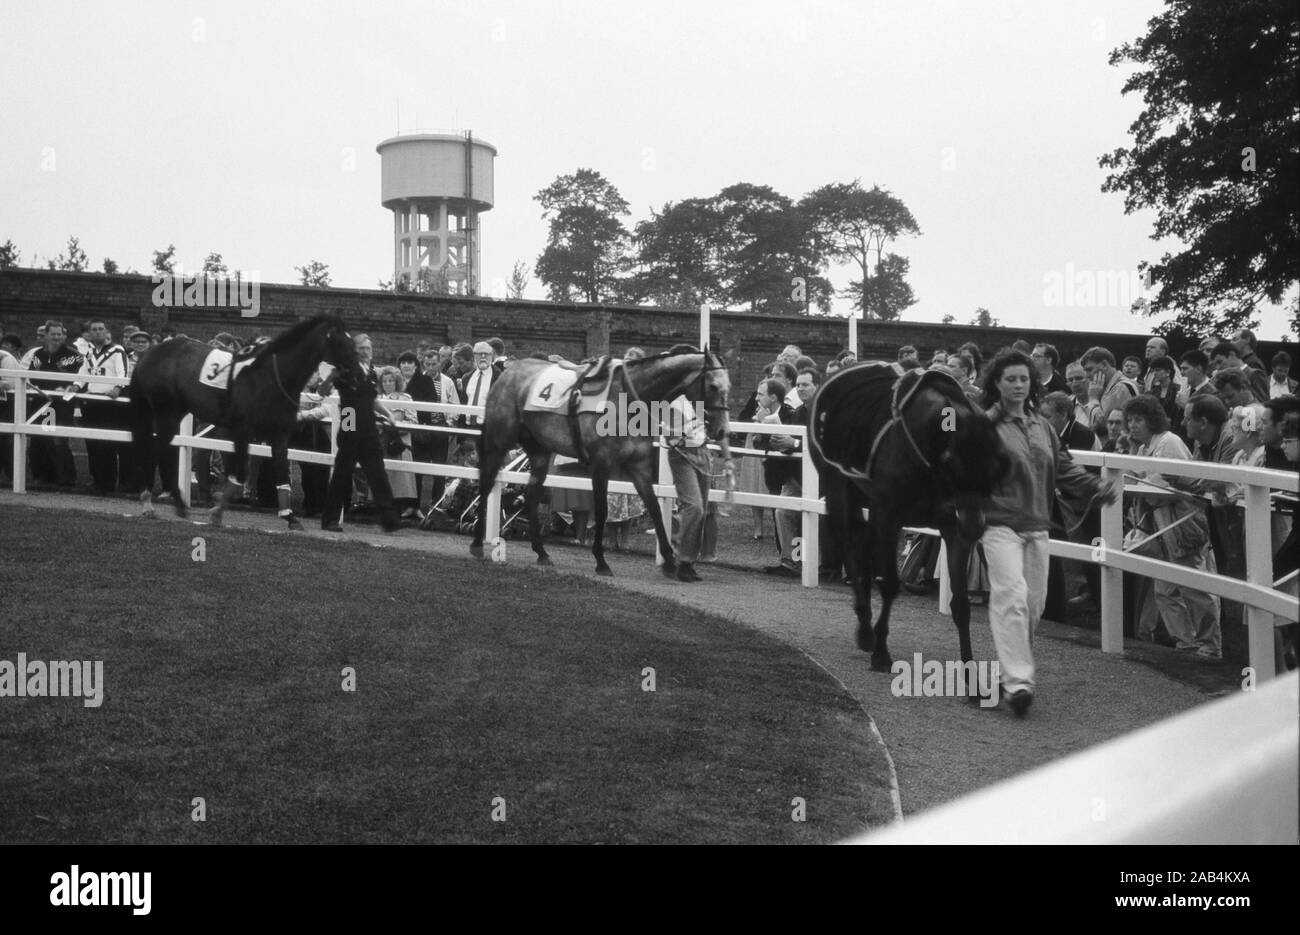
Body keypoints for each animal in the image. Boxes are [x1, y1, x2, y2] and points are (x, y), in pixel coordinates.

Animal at [128, 314, 361, 530]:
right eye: (341, 341)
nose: (360, 374)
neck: (271, 377)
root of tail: (148, 353)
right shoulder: (242, 431)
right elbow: (239, 475)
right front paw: (217, 513)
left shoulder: (279, 435)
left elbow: (282, 476)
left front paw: (290, 517)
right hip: (165, 411)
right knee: (156, 450)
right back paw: (151, 503)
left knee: (162, 450)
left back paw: (174, 502)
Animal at [470, 345, 738, 574]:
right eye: (713, 385)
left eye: (728, 385)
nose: (723, 431)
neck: (628, 397)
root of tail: (508, 372)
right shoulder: (601, 464)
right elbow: (601, 509)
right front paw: (600, 559)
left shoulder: (639, 467)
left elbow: (653, 507)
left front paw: (670, 561)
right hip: (498, 442)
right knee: (486, 484)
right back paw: (477, 544)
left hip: (540, 452)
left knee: (532, 495)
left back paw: (541, 552)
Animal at [806, 364, 1008, 681]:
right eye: (956, 464)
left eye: (997, 464)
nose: (975, 526)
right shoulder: (889, 515)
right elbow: (890, 583)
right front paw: (880, 653)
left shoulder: (952, 527)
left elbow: (961, 602)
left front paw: (969, 672)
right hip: (837, 485)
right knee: (848, 540)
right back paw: (866, 629)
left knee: (861, 544)